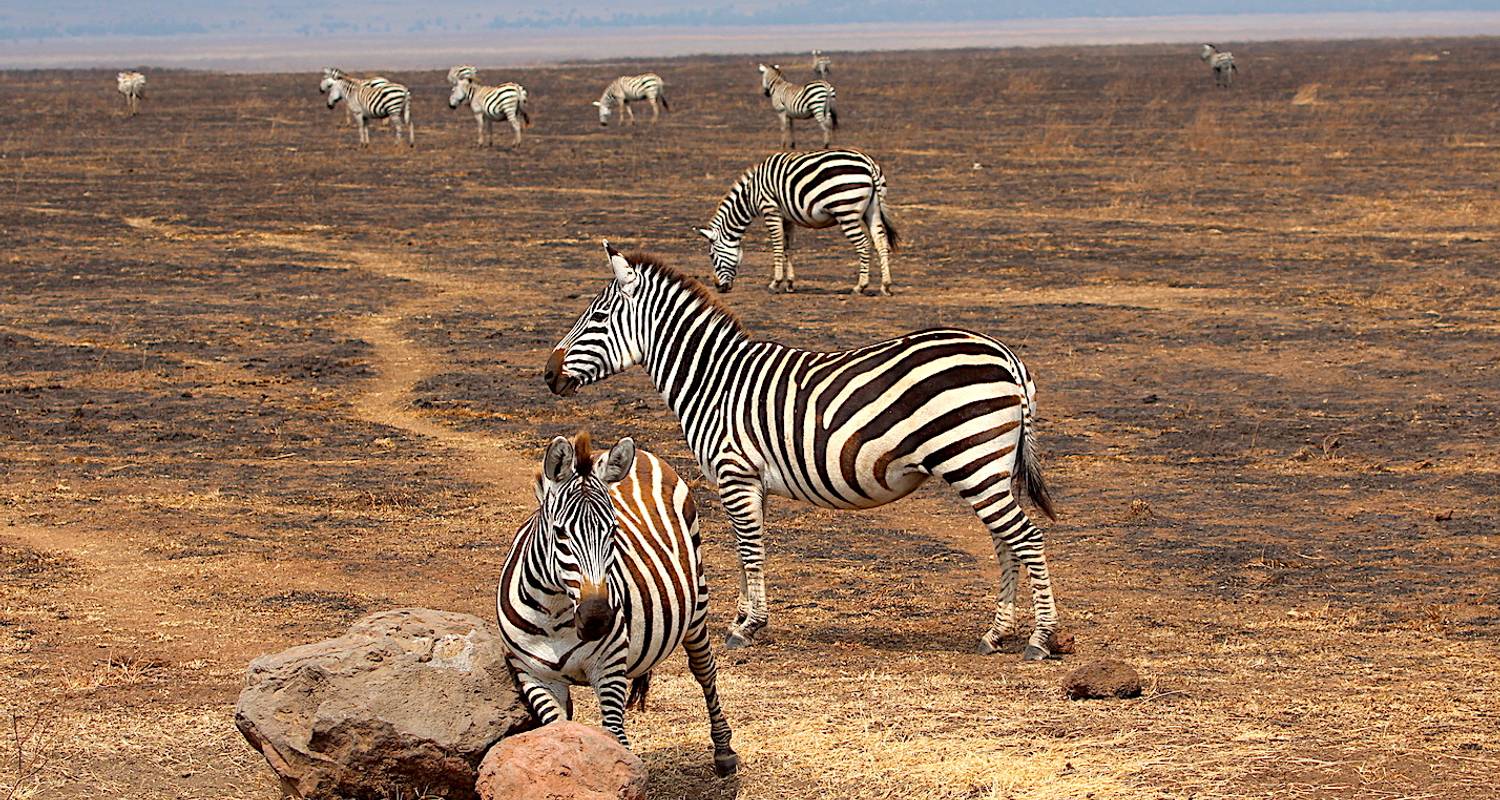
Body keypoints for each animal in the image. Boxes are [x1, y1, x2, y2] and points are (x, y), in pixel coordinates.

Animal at [501, 429, 741, 774]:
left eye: (613, 530)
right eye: (560, 533)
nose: (597, 619)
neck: (555, 613)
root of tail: (642, 453)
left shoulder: (610, 666)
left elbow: (616, 737)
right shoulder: (533, 674)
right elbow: (557, 731)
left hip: (697, 603)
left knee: (704, 669)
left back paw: (723, 751)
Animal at [546, 243, 1062, 660]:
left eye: (596, 319)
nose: (548, 375)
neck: (715, 381)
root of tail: (1006, 356)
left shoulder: (735, 473)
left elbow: (748, 549)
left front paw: (747, 628)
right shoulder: (753, 482)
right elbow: (748, 550)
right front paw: (746, 618)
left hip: (972, 461)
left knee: (1028, 538)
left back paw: (1041, 639)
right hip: (987, 468)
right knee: (1005, 542)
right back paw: (996, 634)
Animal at [696, 147, 894, 294]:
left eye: (712, 255)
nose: (718, 287)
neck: (751, 195)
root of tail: (868, 163)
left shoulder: (771, 209)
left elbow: (777, 246)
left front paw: (775, 283)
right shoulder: (787, 216)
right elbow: (787, 247)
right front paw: (790, 283)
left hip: (846, 211)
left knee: (863, 245)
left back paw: (860, 286)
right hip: (873, 210)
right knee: (881, 242)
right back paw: (886, 285)